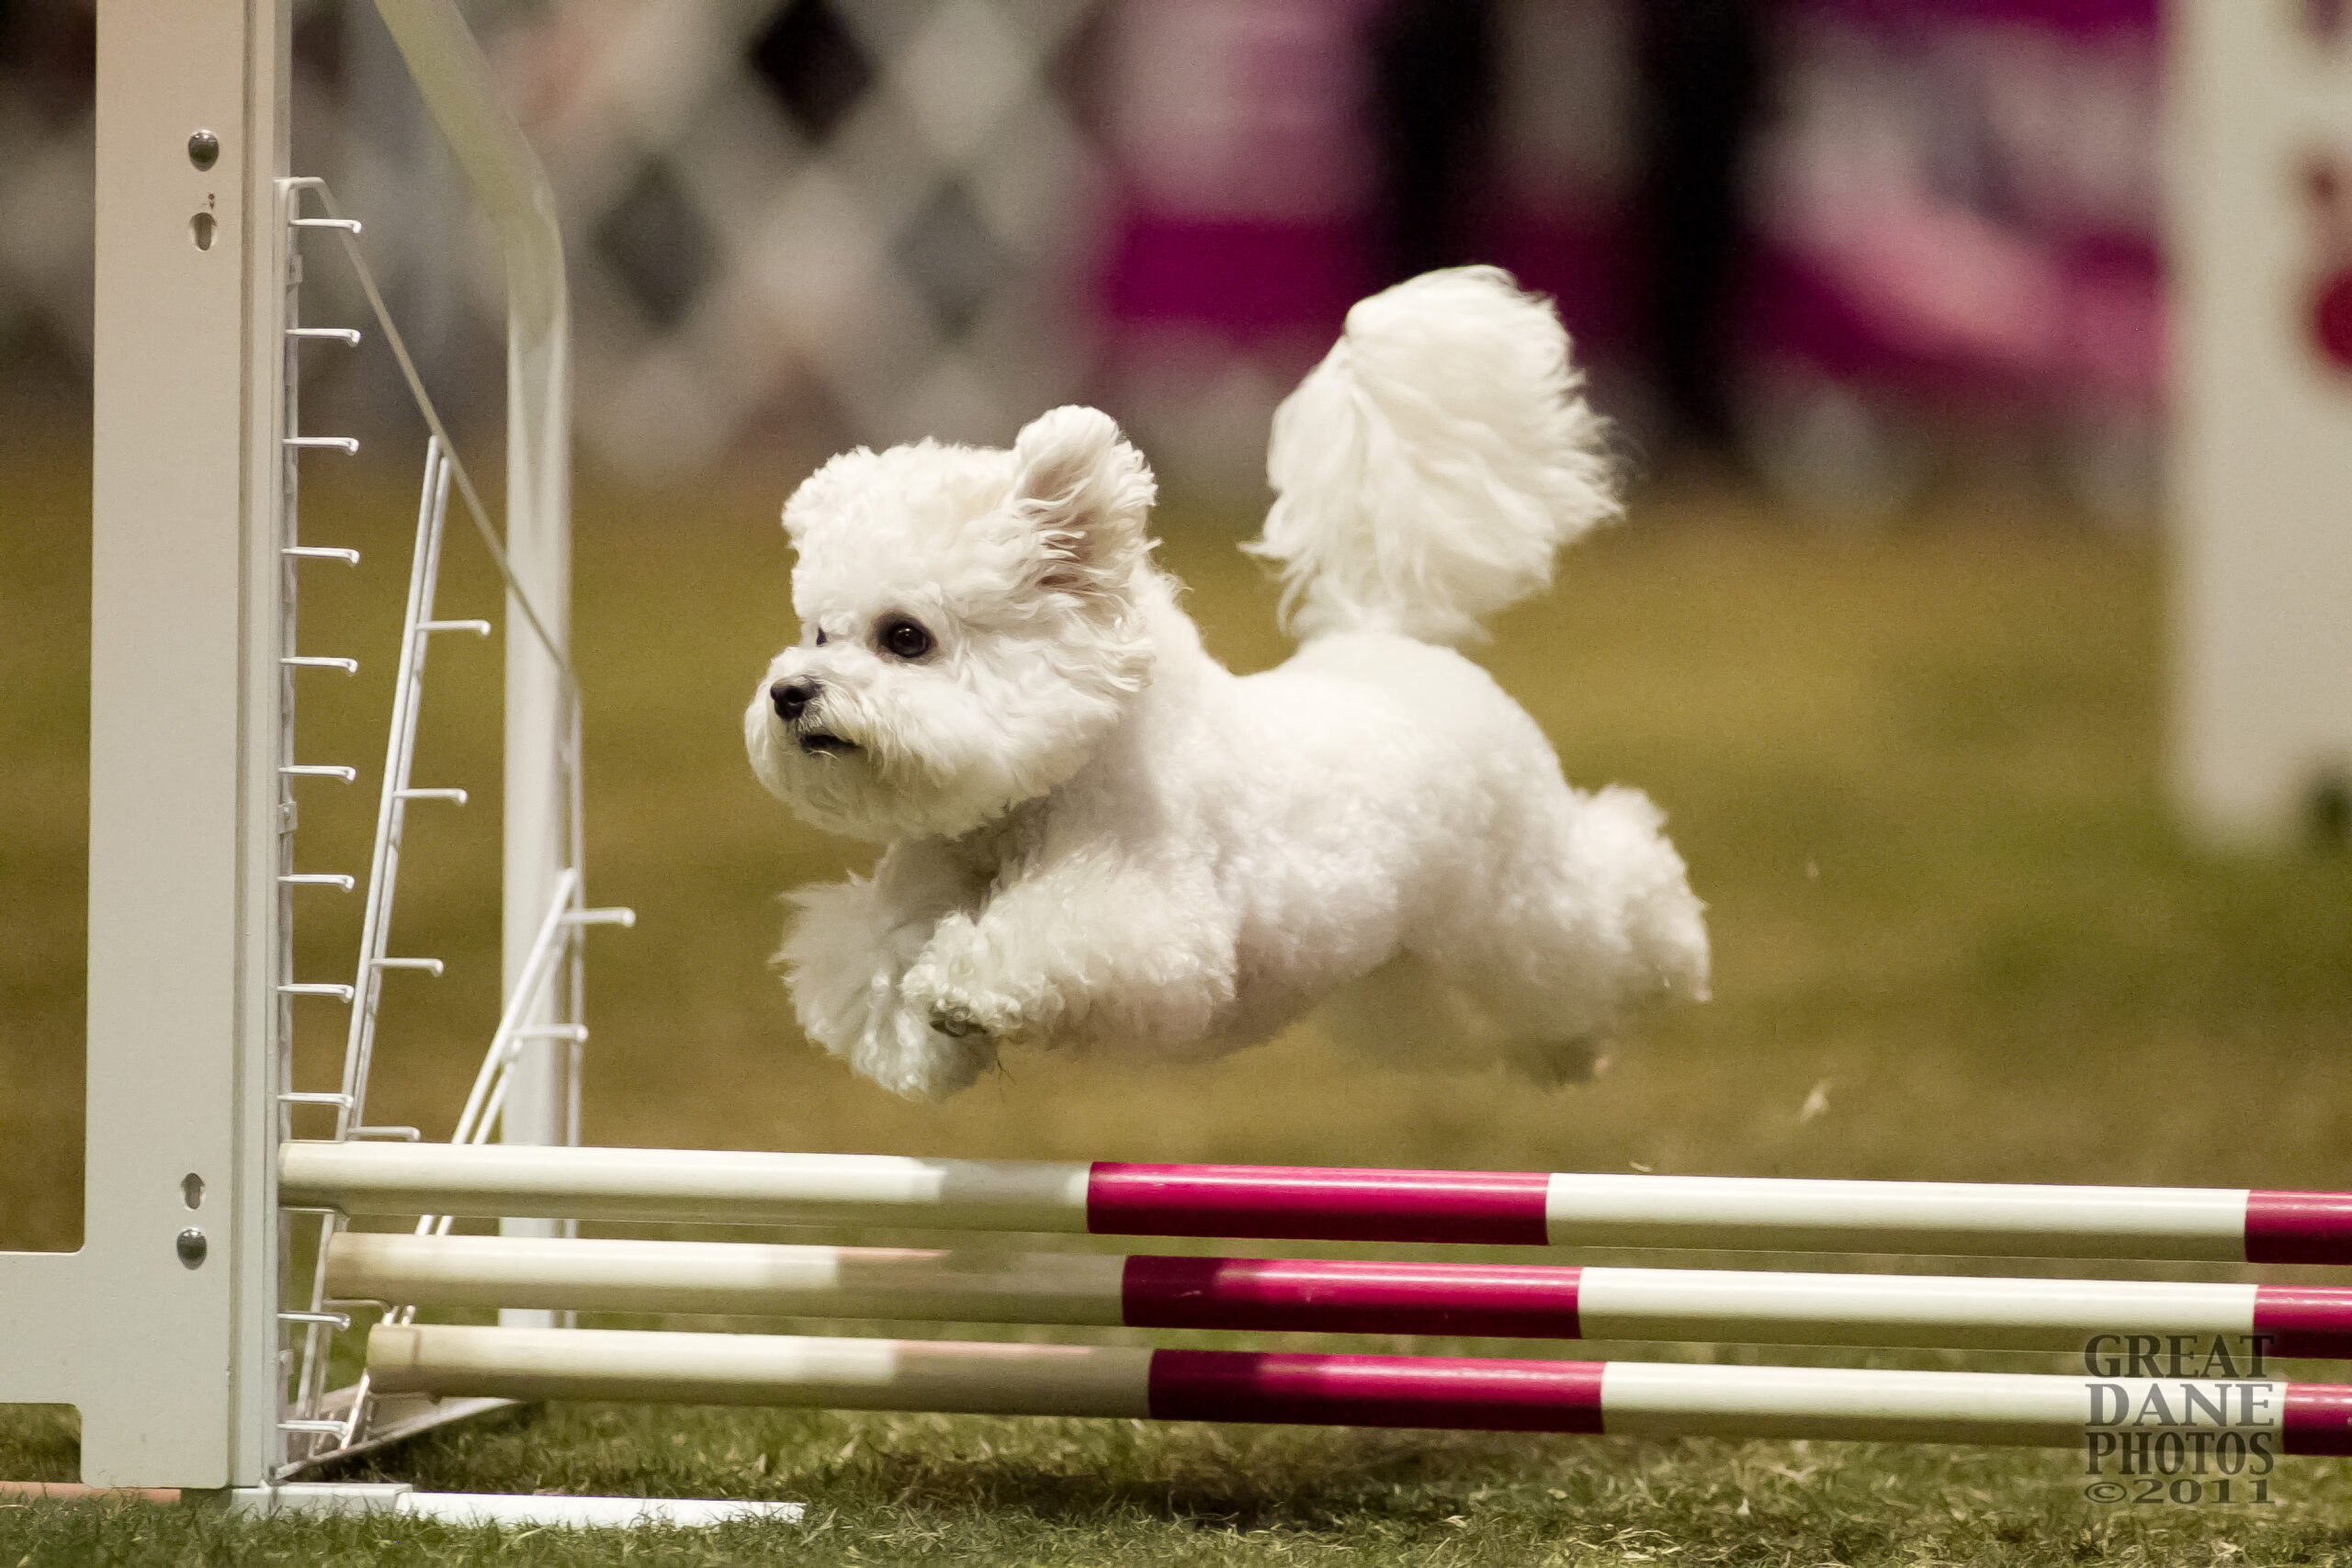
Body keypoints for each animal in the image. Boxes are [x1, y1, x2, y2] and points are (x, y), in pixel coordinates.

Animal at [748, 270, 1712, 1104]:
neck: (1045, 792)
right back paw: (1566, 1054)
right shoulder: (904, 899)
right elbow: (873, 955)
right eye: (819, 632)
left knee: (1617, 889)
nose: (790, 694)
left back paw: (1676, 952)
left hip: (1524, 901)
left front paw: (958, 984)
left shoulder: (1155, 921)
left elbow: (1046, 938)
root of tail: (1383, 632)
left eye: (905, 637)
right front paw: (923, 1039)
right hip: (1410, 964)